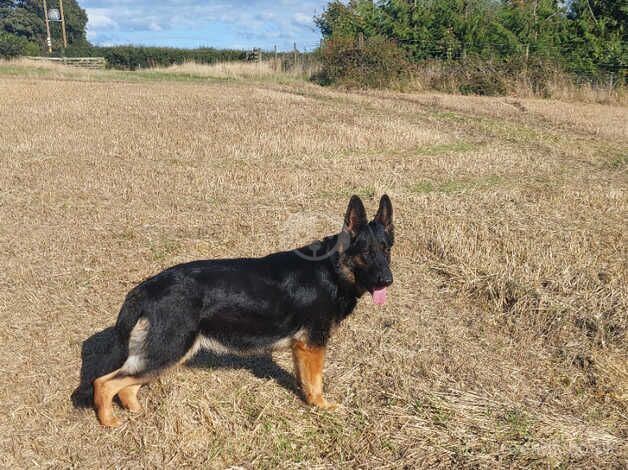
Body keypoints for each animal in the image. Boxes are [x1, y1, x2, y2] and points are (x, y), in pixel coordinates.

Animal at [81, 194, 392, 426]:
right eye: (366, 253)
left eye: (386, 249)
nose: (387, 280)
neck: (332, 269)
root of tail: (146, 288)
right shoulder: (312, 345)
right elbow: (315, 382)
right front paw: (321, 406)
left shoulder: (301, 348)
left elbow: (305, 379)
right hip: (168, 350)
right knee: (104, 383)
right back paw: (109, 422)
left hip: (162, 354)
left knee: (126, 385)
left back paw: (135, 412)